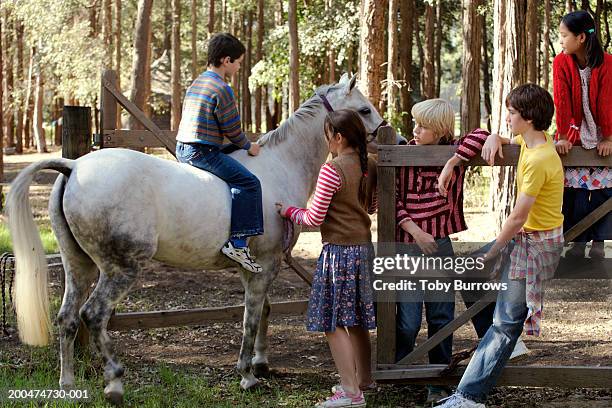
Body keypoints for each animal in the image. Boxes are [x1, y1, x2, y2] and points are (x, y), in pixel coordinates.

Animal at [7, 74, 384, 404]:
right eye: (364, 110)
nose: (386, 136)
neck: (279, 166)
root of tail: (74, 167)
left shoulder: (261, 268)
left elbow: (263, 310)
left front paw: (261, 363)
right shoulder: (264, 266)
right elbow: (250, 317)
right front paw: (247, 375)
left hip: (78, 265)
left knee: (67, 318)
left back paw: (67, 384)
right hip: (121, 269)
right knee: (94, 315)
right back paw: (114, 382)